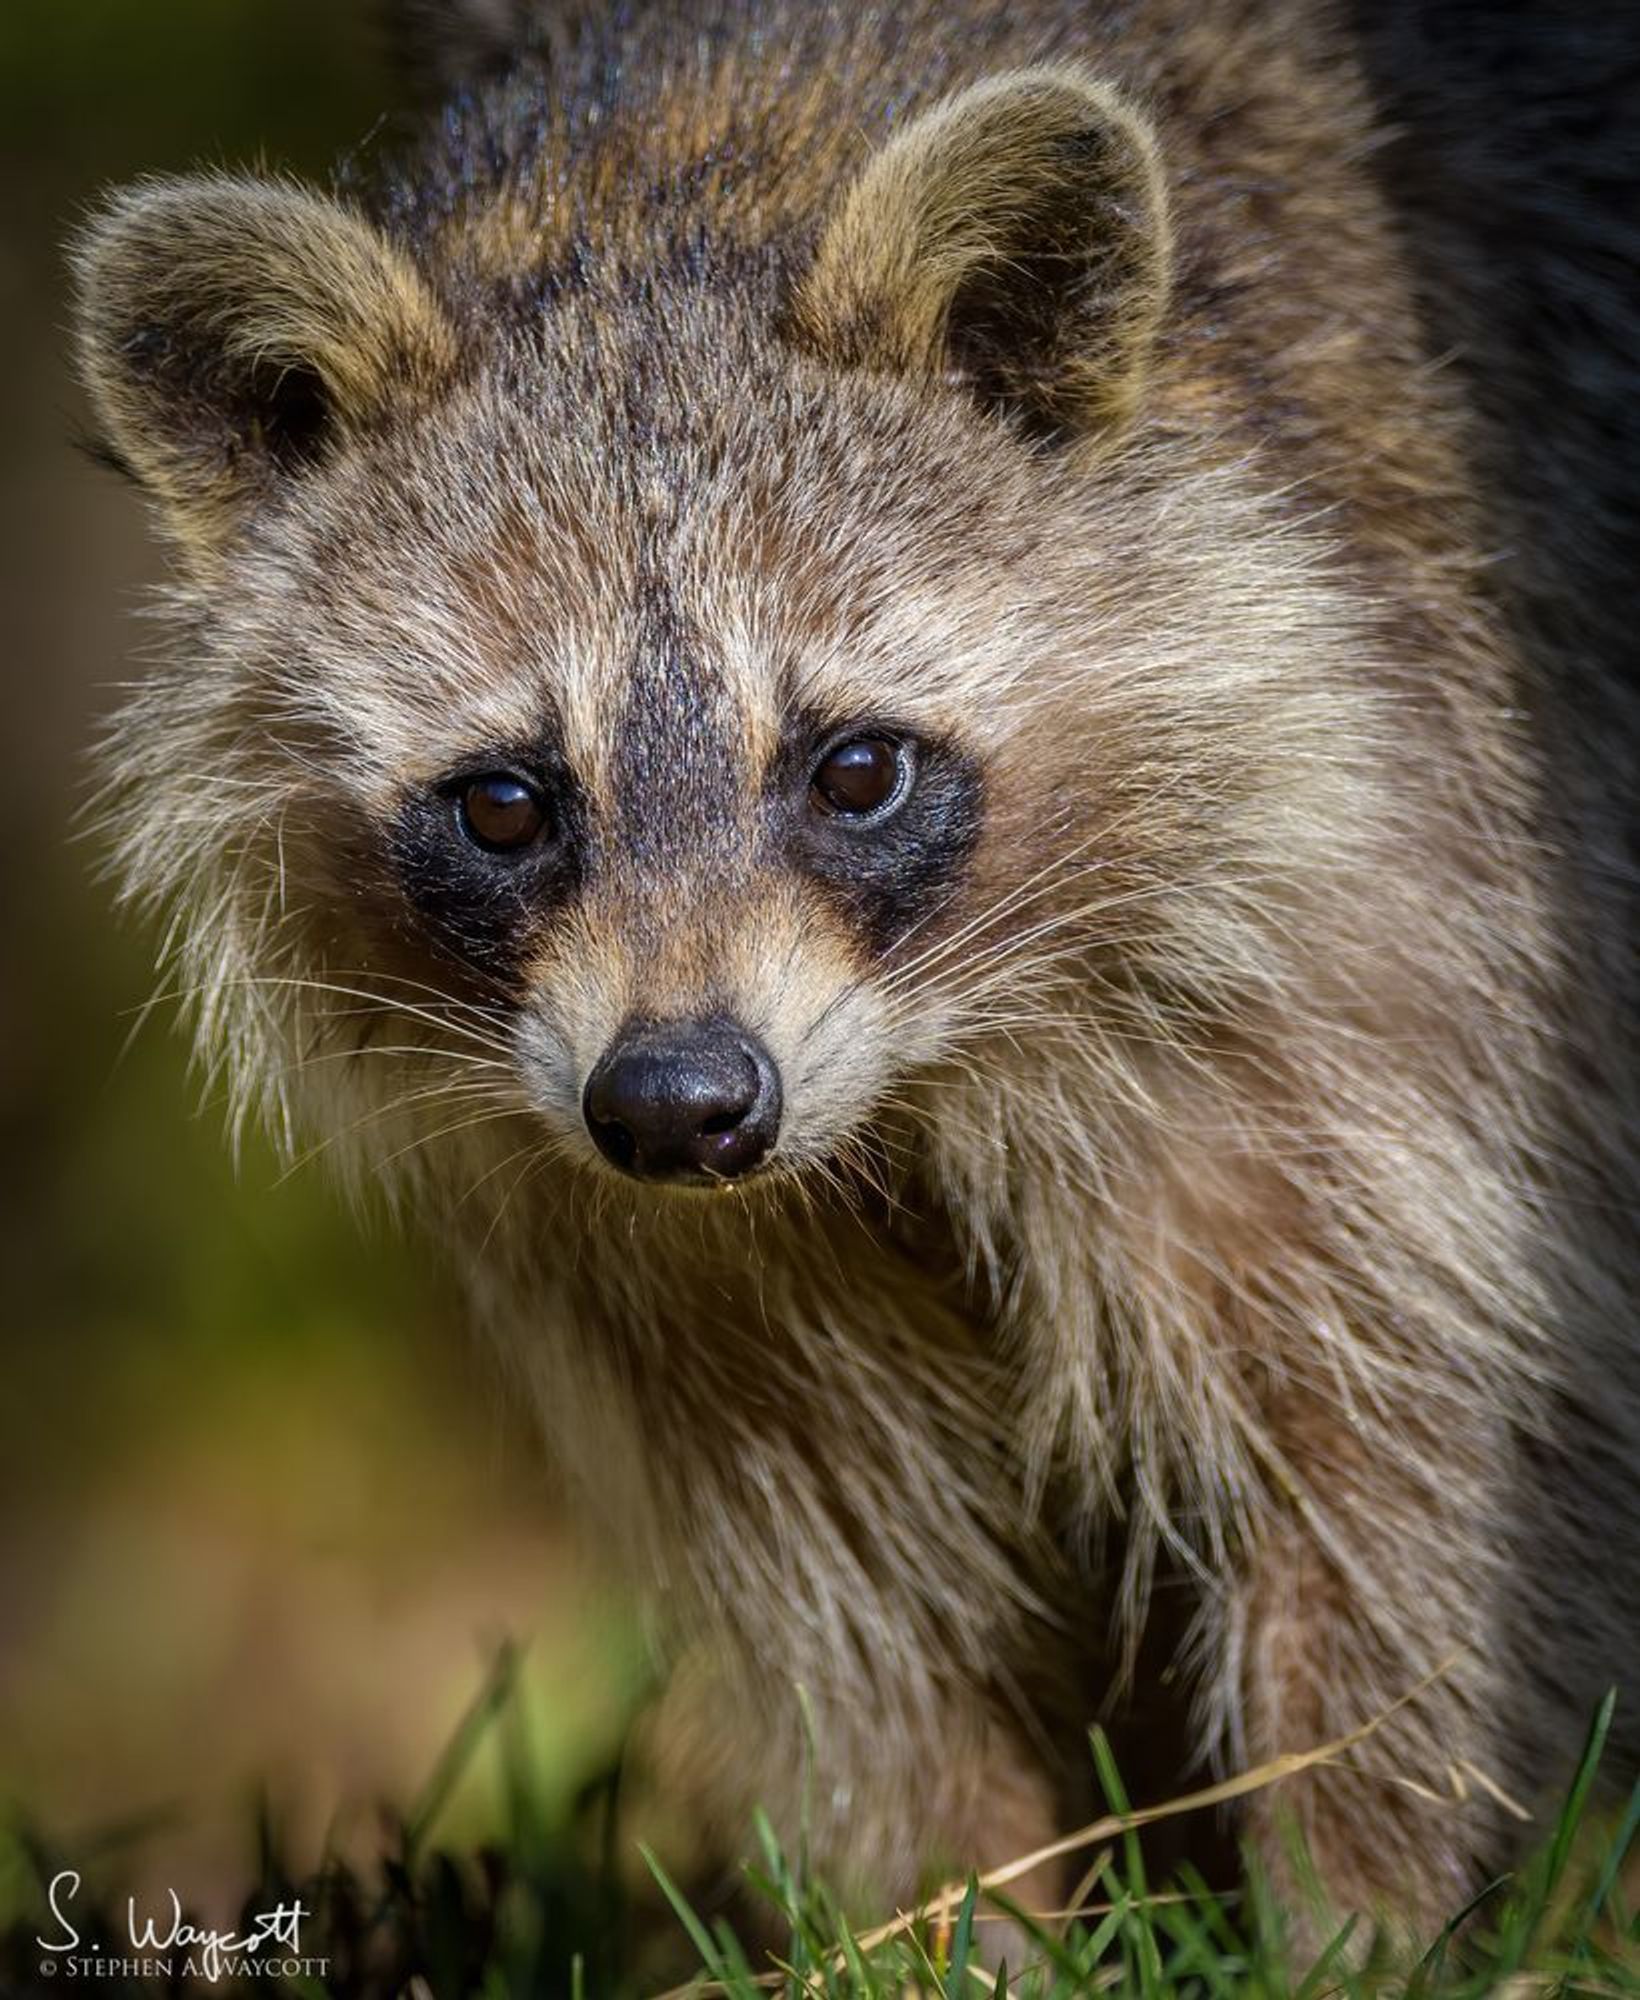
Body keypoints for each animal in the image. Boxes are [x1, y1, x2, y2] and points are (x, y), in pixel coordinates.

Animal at [70, 0, 1632, 1952]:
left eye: (856, 768)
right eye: (505, 803)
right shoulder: (647, 1243)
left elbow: (1402, 1454)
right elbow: (846, 1586)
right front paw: (958, 1919)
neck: (676, 170)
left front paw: (1367, 1908)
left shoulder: (1392, 912)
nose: (679, 1103)